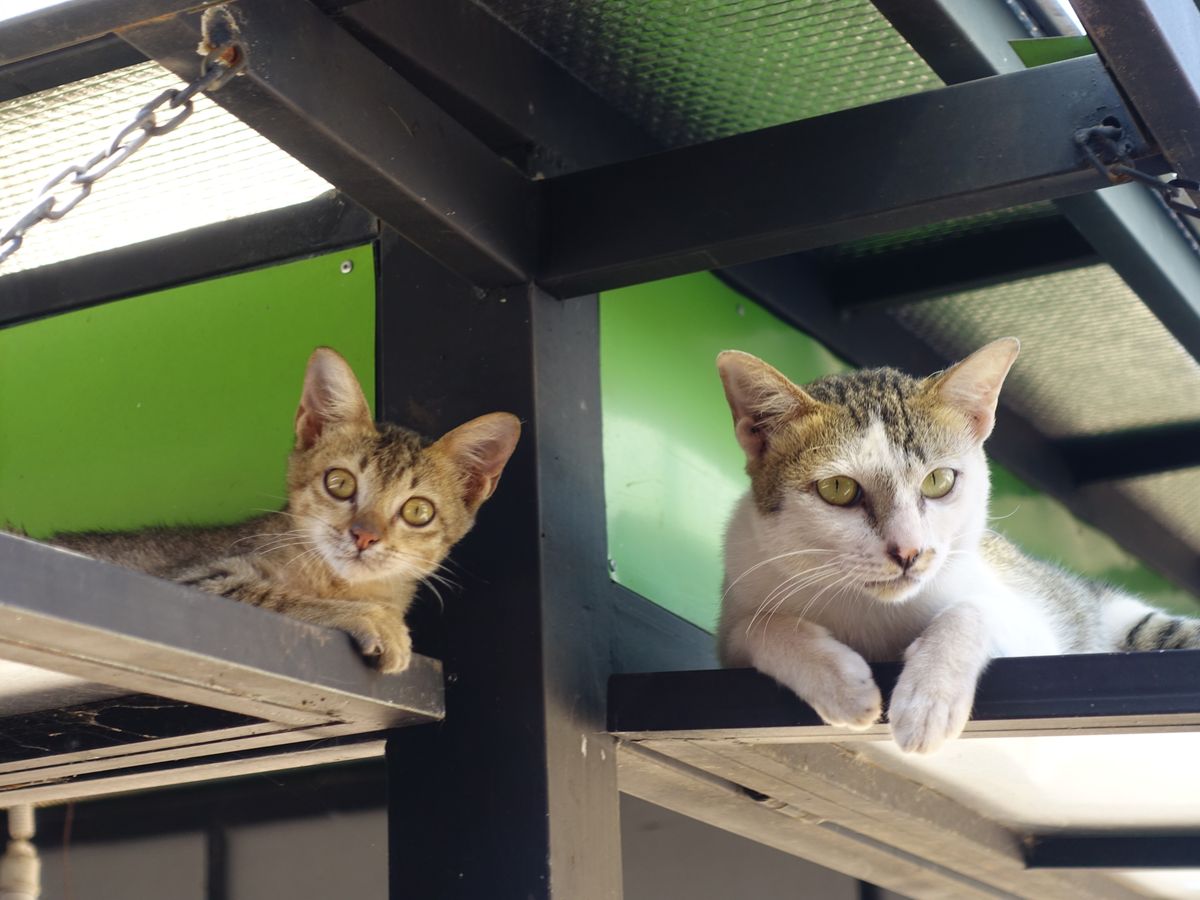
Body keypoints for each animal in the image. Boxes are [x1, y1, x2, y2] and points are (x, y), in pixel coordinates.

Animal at [47, 347, 520, 674]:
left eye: (418, 511)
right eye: (340, 483)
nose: (364, 535)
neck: (337, 584)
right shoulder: (193, 579)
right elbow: (274, 595)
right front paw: (373, 618)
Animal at [716, 338, 1200, 753]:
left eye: (939, 481)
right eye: (838, 489)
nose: (908, 551)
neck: (874, 611)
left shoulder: (1032, 630)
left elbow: (970, 610)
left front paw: (929, 699)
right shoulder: (734, 617)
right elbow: (757, 627)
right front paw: (842, 685)